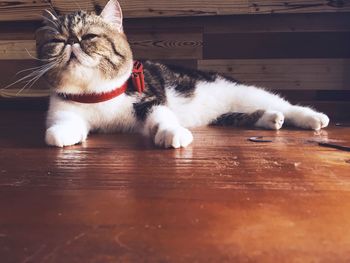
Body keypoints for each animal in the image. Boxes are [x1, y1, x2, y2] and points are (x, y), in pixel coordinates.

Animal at [37, 0, 330, 148]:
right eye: (57, 40)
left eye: (89, 37)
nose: (71, 42)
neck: (97, 94)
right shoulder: (64, 109)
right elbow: (60, 128)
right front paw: (62, 134)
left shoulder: (150, 100)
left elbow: (163, 117)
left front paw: (172, 133)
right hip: (226, 114)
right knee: (250, 114)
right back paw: (271, 120)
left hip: (246, 92)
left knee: (285, 104)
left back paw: (312, 117)